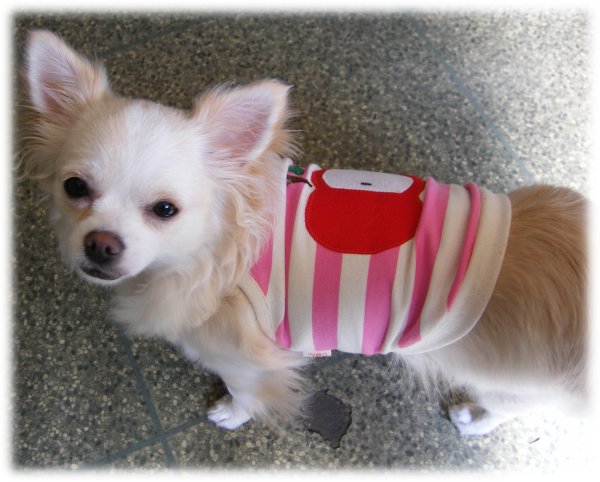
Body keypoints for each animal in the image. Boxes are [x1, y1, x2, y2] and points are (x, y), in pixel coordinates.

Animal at [21, 30, 587, 435]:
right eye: (75, 187)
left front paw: (231, 414)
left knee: (510, 406)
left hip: (510, 383)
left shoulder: (246, 358)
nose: (101, 244)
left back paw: (472, 420)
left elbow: (248, 391)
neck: (214, 253)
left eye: (165, 210)